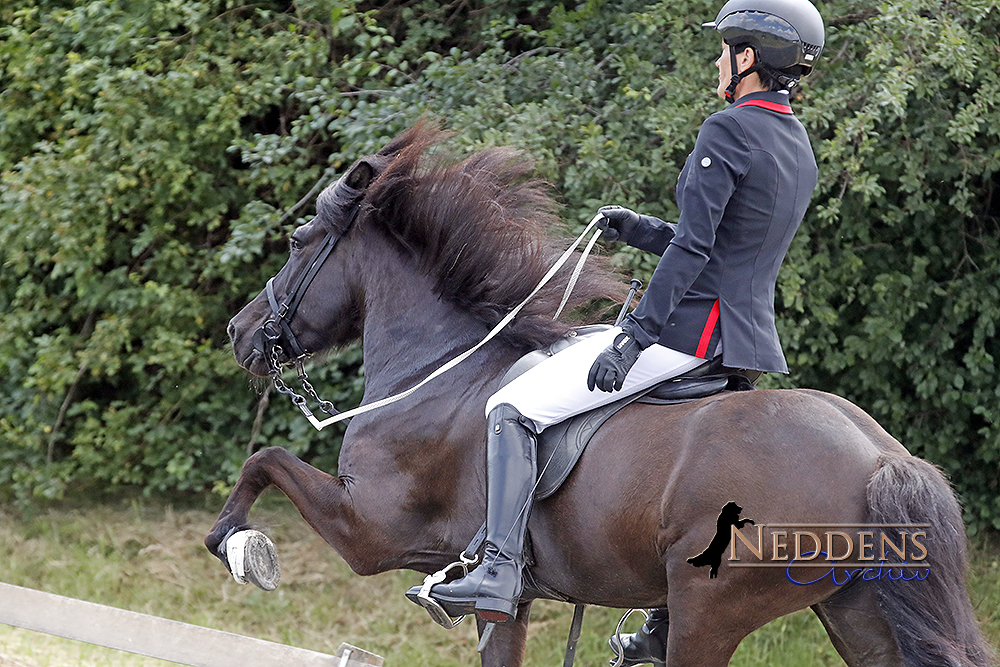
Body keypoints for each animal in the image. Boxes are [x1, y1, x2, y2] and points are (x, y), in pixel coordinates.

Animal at [207, 122, 996, 664]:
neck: (440, 369)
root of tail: (880, 457)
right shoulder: (508, 604)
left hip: (713, 608)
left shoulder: (370, 529)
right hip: (858, 609)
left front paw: (238, 545)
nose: (239, 332)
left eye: (300, 242)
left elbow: (264, 460)